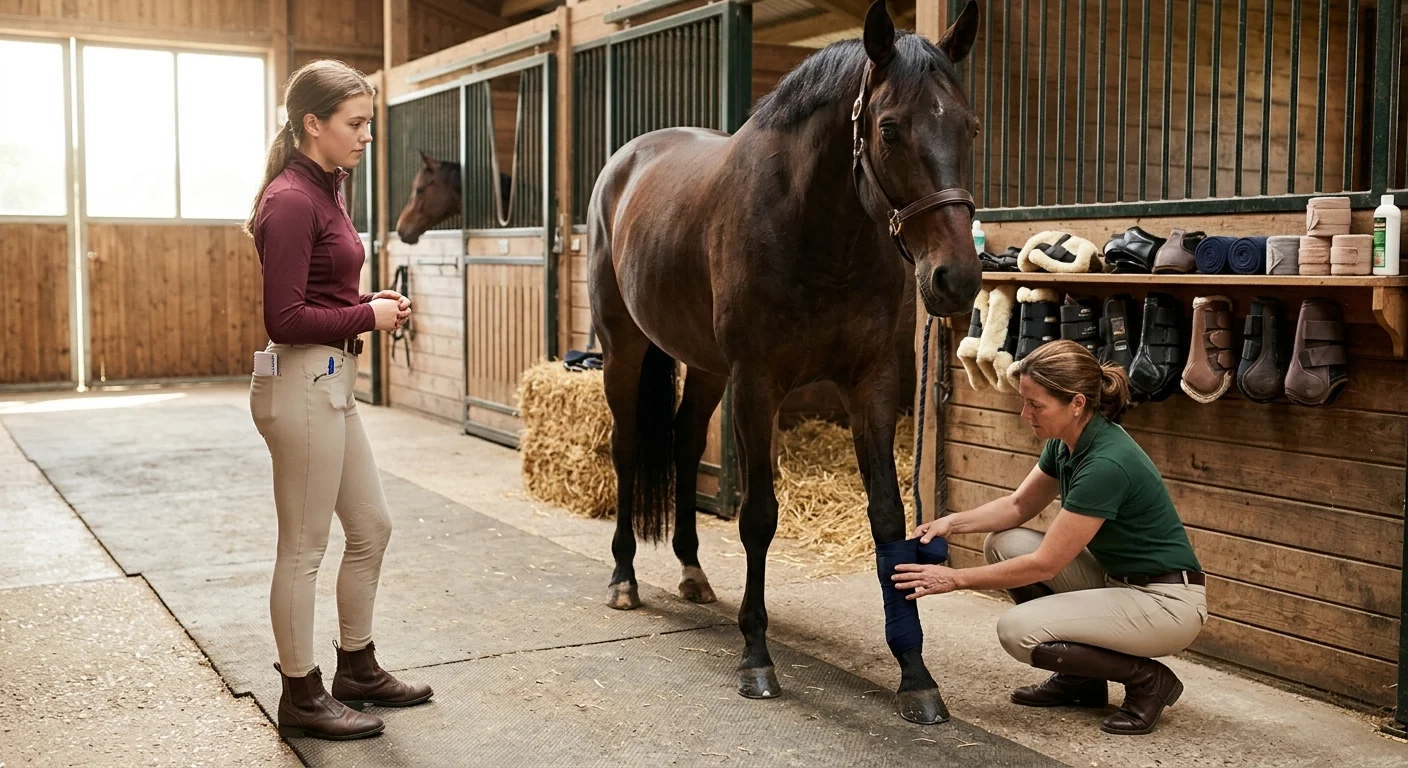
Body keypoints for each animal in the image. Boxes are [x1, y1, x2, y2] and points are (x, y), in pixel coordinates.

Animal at [586, 0, 982, 724]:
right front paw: (756, 656)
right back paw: (624, 577)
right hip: (624, 349)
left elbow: (888, 516)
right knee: (628, 450)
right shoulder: (757, 383)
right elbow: (758, 515)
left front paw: (914, 671)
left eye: (966, 125)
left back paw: (691, 571)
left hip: (706, 368)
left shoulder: (871, 383)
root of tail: (626, 162)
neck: (817, 229)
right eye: (888, 129)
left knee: (684, 445)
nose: (956, 279)